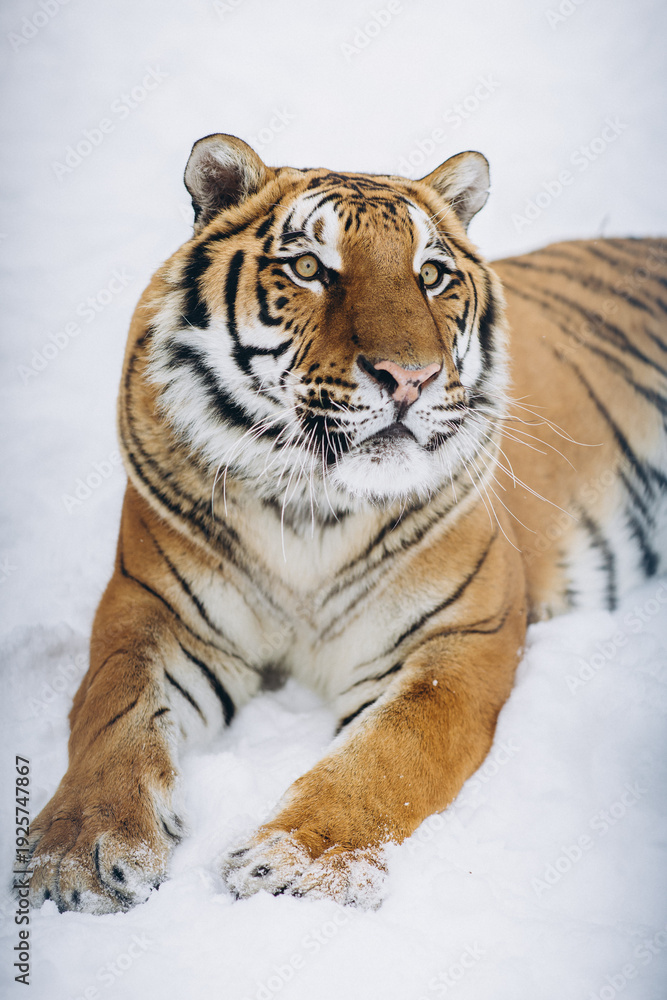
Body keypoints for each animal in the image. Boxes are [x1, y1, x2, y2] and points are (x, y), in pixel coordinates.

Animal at [27, 133, 667, 913]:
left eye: (431, 275)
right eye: (309, 268)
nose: (411, 379)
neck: (310, 504)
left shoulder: (463, 637)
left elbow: (393, 750)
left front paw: (298, 864)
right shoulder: (151, 610)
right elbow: (112, 714)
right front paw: (78, 854)